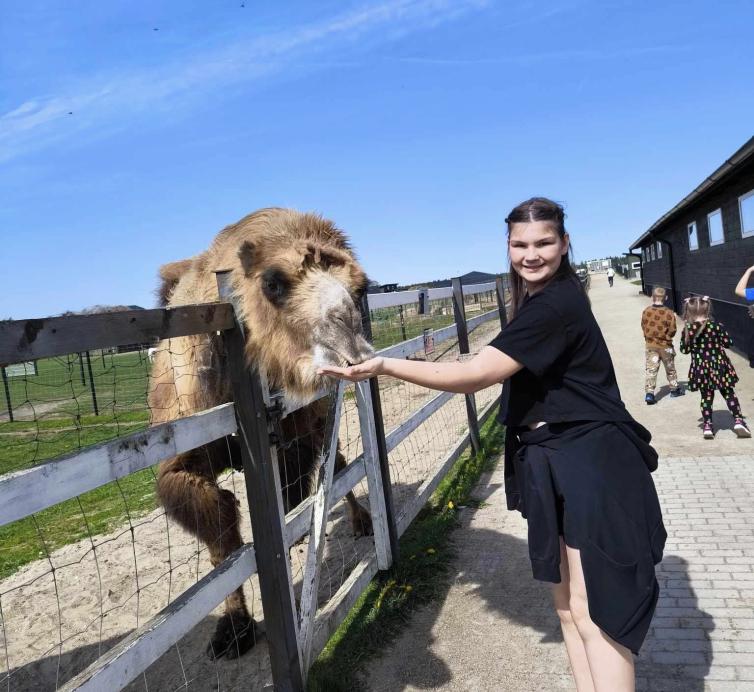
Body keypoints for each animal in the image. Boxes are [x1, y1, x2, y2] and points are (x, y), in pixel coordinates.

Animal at [147, 209, 374, 660]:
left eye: (363, 288)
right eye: (273, 282)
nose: (352, 347)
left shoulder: (300, 431)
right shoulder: (183, 445)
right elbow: (217, 528)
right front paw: (233, 630)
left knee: (337, 464)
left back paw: (362, 521)